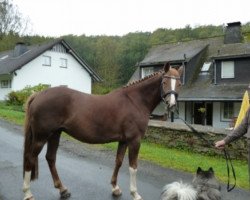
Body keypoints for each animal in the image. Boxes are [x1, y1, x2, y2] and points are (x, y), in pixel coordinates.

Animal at [22, 62, 183, 200]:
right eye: (164, 82)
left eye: (179, 83)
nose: (172, 104)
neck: (135, 101)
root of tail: (38, 95)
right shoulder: (134, 140)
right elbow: (133, 167)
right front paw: (135, 193)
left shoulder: (123, 140)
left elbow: (118, 162)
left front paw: (115, 188)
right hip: (41, 137)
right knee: (30, 159)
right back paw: (28, 193)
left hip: (55, 134)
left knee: (50, 158)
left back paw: (63, 189)